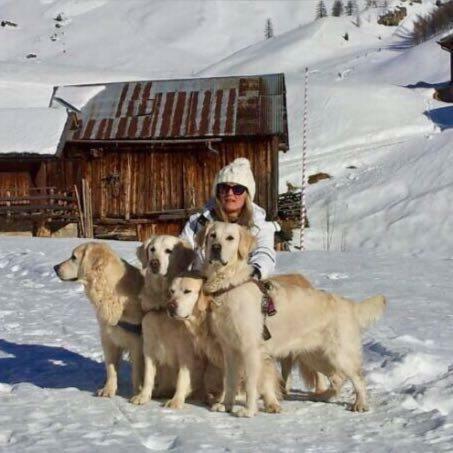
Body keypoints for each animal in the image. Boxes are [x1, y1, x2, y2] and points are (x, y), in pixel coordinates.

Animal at [53, 244, 144, 396]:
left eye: (74, 257)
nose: (55, 267)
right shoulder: (108, 338)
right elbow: (111, 368)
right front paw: (108, 390)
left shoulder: (137, 342)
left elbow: (137, 371)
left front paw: (137, 392)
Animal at [130, 235, 202, 408]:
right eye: (152, 249)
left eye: (169, 251)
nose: (154, 263)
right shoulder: (149, 347)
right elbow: (148, 376)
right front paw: (143, 397)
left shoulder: (186, 352)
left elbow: (182, 378)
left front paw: (176, 401)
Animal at [197, 222, 384, 416]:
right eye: (212, 235)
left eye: (230, 238)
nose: (216, 248)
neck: (229, 285)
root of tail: (349, 304)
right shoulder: (229, 349)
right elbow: (230, 380)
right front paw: (225, 404)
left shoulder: (250, 349)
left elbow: (250, 383)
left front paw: (248, 411)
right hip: (314, 355)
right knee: (337, 378)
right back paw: (323, 396)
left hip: (339, 354)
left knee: (358, 378)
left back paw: (360, 403)